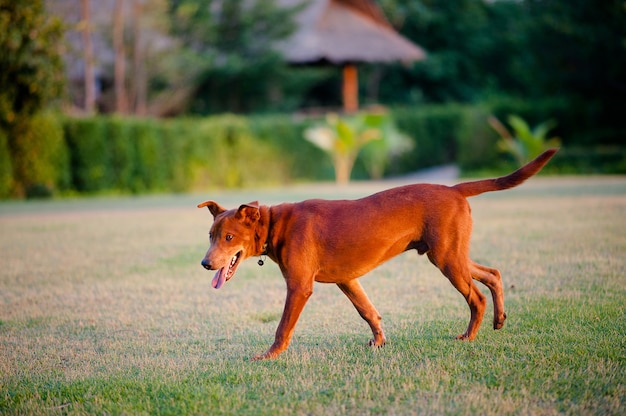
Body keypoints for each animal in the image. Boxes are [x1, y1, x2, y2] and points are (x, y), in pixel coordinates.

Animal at [196, 150, 556, 360]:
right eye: (210, 236)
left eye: (229, 237)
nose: (205, 264)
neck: (276, 224)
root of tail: (454, 189)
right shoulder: (347, 280)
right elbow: (368, 312)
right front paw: (380, 343)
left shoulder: (299, 287)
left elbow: (282, 327)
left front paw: (269, 356)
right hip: (451, 254)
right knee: (493, 273)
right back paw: (499, 319)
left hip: (446, 259)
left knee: (475, 297)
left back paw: (469, 336)